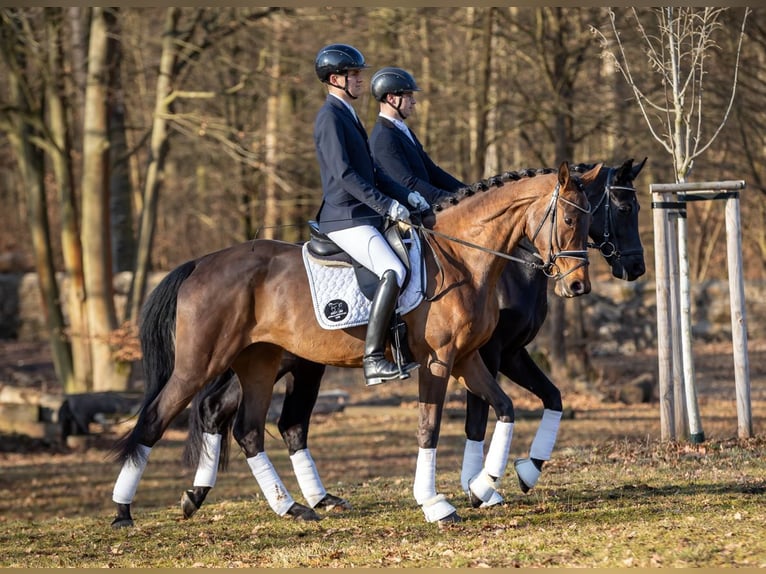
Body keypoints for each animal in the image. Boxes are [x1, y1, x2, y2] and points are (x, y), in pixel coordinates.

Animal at [110, 161, 597, 528]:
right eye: (570, 219)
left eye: (592, 221)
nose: (578, 287)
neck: (461, 258)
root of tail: (200, 263)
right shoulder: (440, 361)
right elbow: (431, 427)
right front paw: (436, 502)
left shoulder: (470, 358)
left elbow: (505, 407)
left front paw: (488, 482)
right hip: (202, 363)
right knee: (156, 419)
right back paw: (123, 512)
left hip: (261, 362)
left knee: (250, 428)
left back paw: (290, 506)